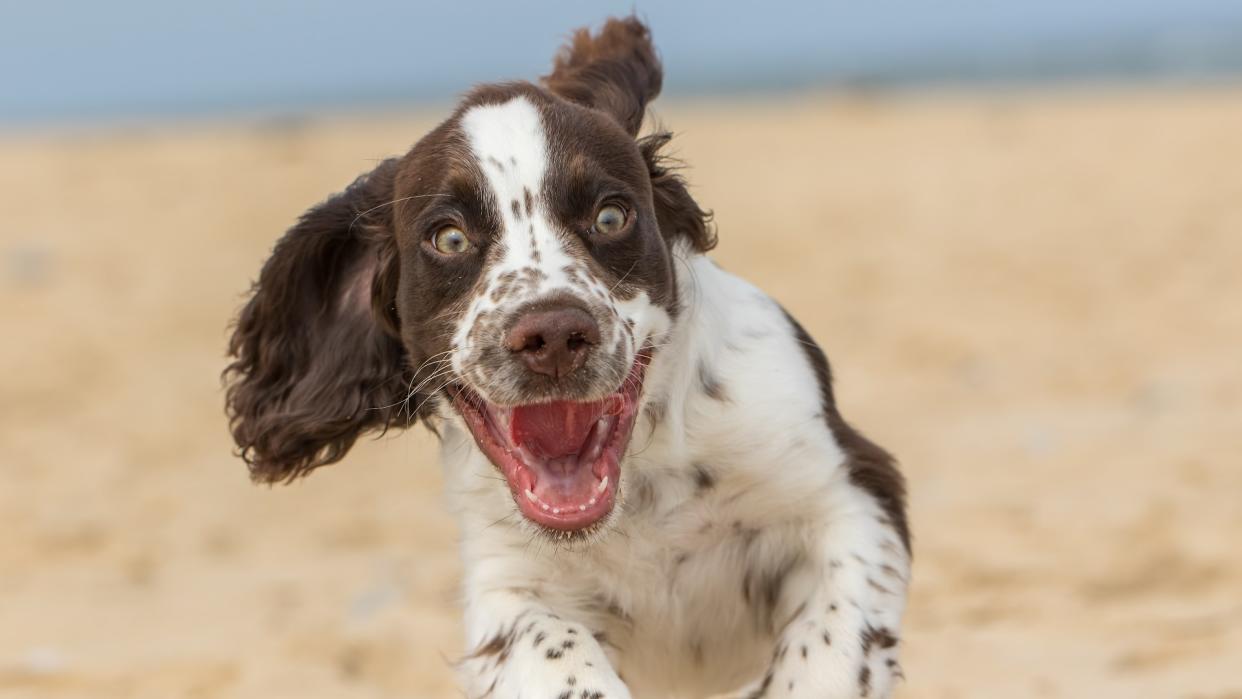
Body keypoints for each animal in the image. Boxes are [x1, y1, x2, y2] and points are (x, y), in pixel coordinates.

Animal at [228, 17, 914, 699]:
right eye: (448, 238)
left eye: (611, 216)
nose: (553, 334)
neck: (639, 494)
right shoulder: (507, 584)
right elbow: (556, 651)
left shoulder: (849, 495)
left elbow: (828, 648)